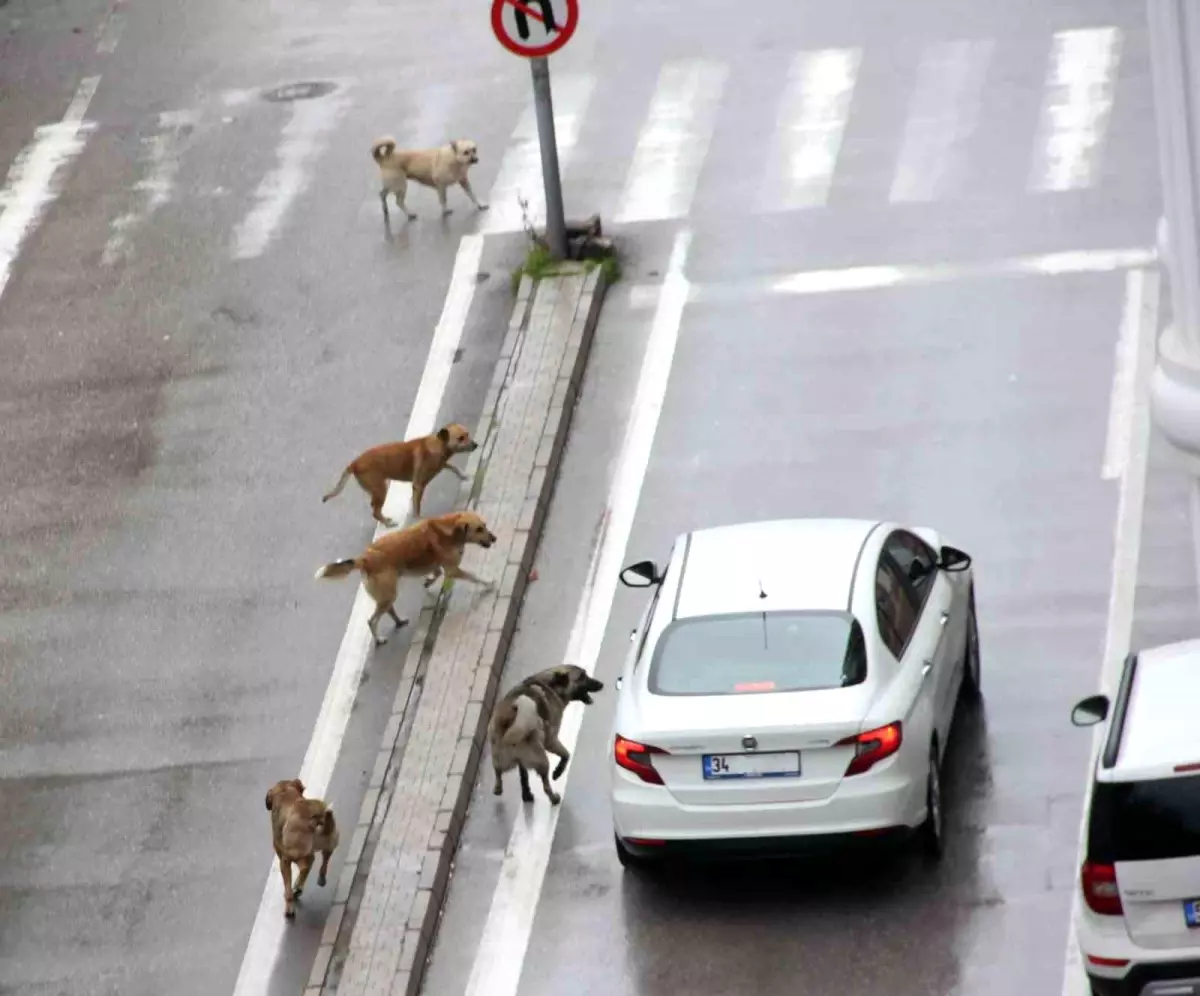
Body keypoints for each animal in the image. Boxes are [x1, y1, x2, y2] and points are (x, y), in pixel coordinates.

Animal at [262, 777, 338, 921]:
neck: (285, 792)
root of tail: (314, 820)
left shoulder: (283, 860)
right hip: (331, 841)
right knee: (323, 862)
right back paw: (319, 879)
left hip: (292, 856)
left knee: (305, 868)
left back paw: (294, 894)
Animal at [314, 513, 496, 648]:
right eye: (479, 529)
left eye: (485, 525)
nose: (495, 538)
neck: (449, 528)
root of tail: (365, 558)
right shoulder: (453, 570)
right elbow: (475, 576)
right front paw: (489, 583)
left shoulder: (440, 566)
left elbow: (436, 572)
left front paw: (429, 581)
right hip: (388, 594)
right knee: (372, 621)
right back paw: (379, 639)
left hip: (388, 595)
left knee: (388, 610)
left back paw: (399, 621)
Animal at [328, 422, 482, 525]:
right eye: (460, 438)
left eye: (467, 434)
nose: (476, 445)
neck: (438, 445)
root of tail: (354, 463)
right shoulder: (418, 486)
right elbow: (417, 508)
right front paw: (419, 520)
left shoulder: (442, 464)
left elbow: (453, 467)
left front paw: (464, 475)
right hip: (380, 489)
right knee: (375, 511)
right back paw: (387, 523)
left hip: (376, 490)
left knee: (374, 508)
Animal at [487, 667, 604, 806]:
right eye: (582, 677)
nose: (601, 684)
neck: (552, 686)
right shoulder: (551, 741)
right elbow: (566, 755)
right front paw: (558, 772)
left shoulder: (523, 762)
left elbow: (523, 776)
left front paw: (526, 793)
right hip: (542, 762)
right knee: (546, 786)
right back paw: (554, 798)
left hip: (501, 759)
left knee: (498, 773)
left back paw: (500, 789)